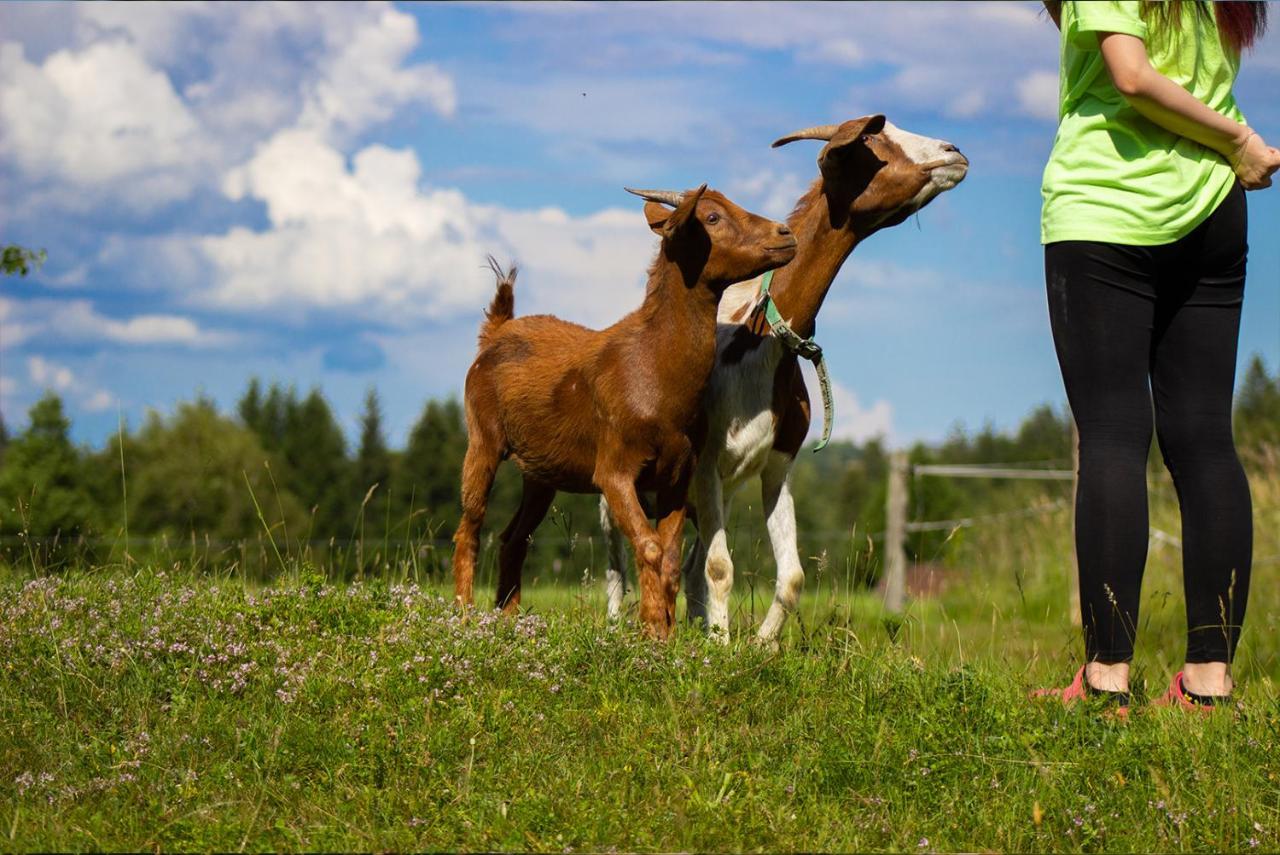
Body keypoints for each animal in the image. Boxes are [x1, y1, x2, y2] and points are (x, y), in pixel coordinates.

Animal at [455, 188, 793, 639]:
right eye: (712, 217)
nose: (785, 233)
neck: (655, 367)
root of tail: (496, 331)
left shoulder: (676, 474)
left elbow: (669, 555)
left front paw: (666, 633)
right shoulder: (614, 469)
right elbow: (648, 546)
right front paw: (652, 629)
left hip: (540, 473)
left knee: (514, 537)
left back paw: (509, 618)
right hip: (483, 437)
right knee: (471, 525)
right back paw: (463, 613)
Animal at [599, 117, 967, 645]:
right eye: (872, 137)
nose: (953, 151)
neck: (762, 337)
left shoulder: (778, 465)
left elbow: (789, 575)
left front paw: (758, 644)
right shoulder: (706, 463)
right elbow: (720, 567)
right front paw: (720, 645)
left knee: (687, 563)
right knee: (616, 560)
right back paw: (618, 626)